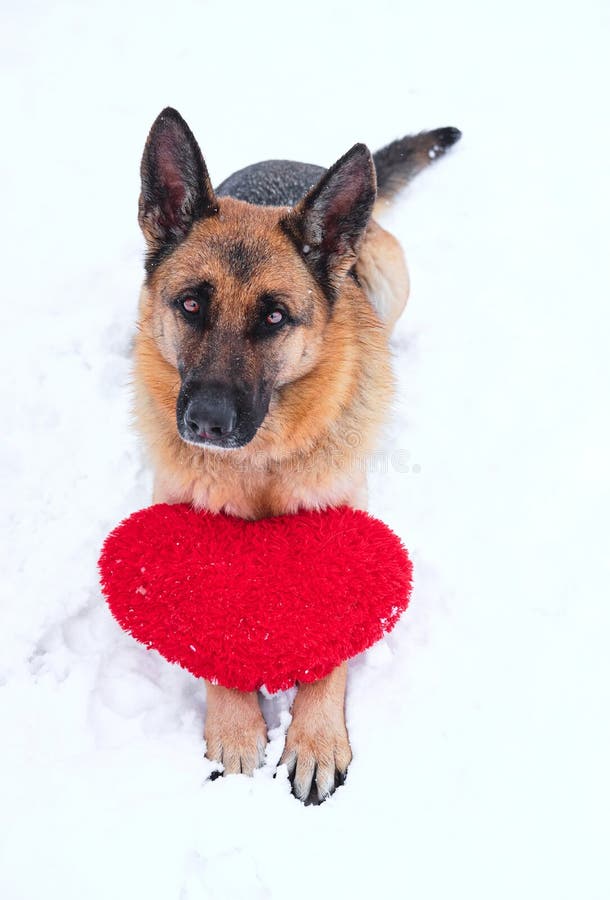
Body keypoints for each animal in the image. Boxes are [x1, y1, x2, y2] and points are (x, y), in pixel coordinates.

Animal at [133, 105, 456, 800]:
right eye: (191, 304)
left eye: (275, 317)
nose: (206, 423)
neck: (260, 465)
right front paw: (236, 729)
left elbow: (330, 655)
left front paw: (315, 739)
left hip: (389, 273)